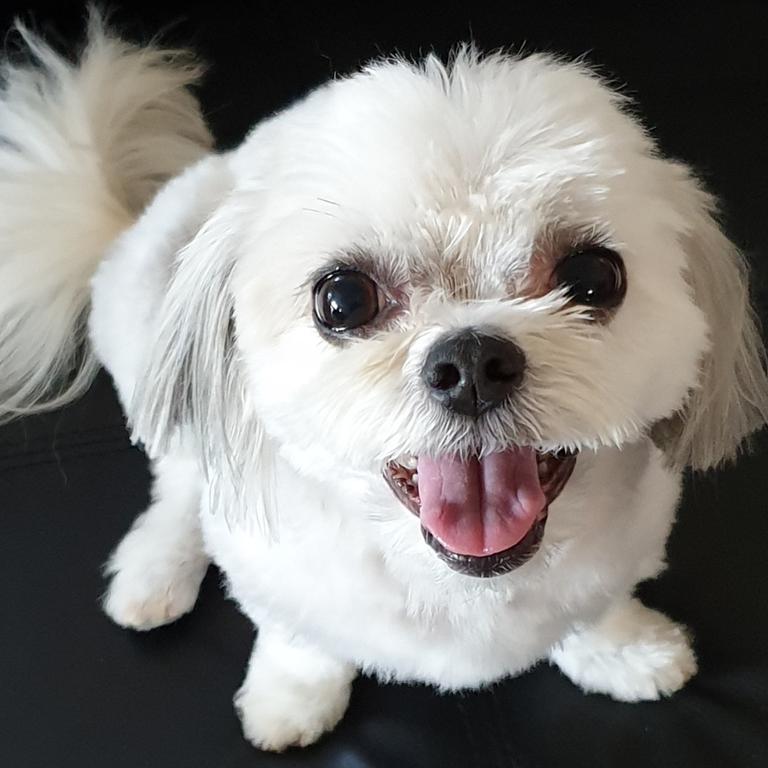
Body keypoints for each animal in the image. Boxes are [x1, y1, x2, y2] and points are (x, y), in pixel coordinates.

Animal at [1, 15, 768, 752]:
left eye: (593, 277)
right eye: (342, 299)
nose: (471, 363)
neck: (457, 581)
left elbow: (595, 608)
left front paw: (625, 651)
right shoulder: (275, 574)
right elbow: (300, 639)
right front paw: (290, 701)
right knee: (182, 471)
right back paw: (154, 572)